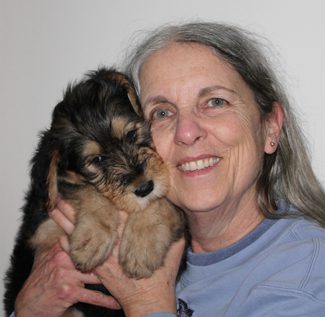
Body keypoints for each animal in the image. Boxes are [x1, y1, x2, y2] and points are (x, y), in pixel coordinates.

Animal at [4, 68, 185, 316]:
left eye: (131, 134)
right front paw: (92, 238)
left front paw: (141, 248)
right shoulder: (42, 229)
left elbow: (162, 202)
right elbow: (86, 189)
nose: (145, 187)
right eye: (97, 160)